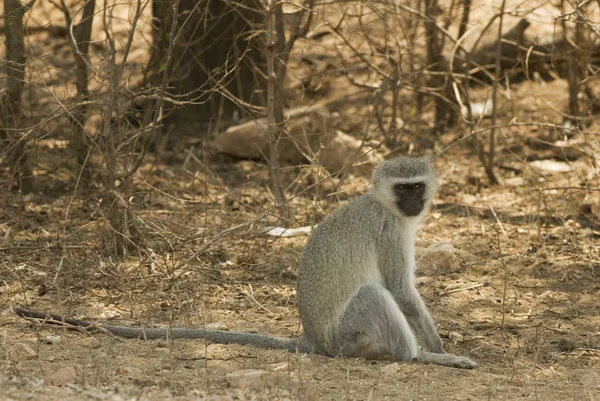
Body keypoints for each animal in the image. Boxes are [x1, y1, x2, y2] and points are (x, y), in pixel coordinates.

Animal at [14, 156, 476, 368]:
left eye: (417, 186)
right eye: (404, 188)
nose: (415, 202)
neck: (385, 206)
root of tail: (315, 340)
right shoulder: (389, 231)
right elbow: (400, 291)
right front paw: (439, 348)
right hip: (348, 333)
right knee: (375, 296)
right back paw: (423, 358)